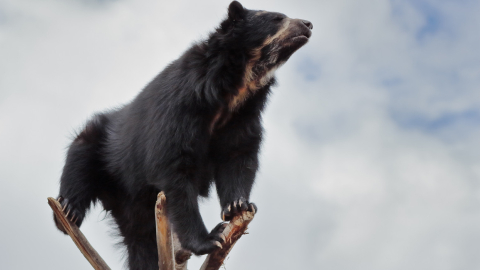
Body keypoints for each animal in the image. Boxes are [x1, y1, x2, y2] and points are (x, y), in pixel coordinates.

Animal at [54, 1, 314, 268]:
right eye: (277, 18)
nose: (308, 24)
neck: (234, 88)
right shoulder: (181, 108)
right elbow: (175, 169)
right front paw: (210, 239)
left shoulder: (243, 116)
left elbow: (238, 155)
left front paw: (238, 206)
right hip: (99, 149)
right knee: (78, 171)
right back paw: (68, 211)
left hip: (133, 206)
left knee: (141, 240)